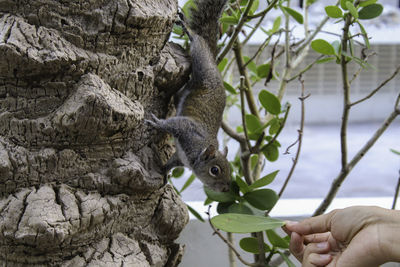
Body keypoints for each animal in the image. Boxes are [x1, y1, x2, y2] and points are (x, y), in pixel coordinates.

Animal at [146, 0, 228, 193]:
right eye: (215, 170)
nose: (226, 189)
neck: (198, 153)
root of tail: (214, 64)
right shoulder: (188, 131)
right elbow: (174, 124)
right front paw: (157, 123)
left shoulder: (180, 157)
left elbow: (171, 163)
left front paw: (164, 172)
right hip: (201, 61)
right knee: (197, 40)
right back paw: (187, 28)